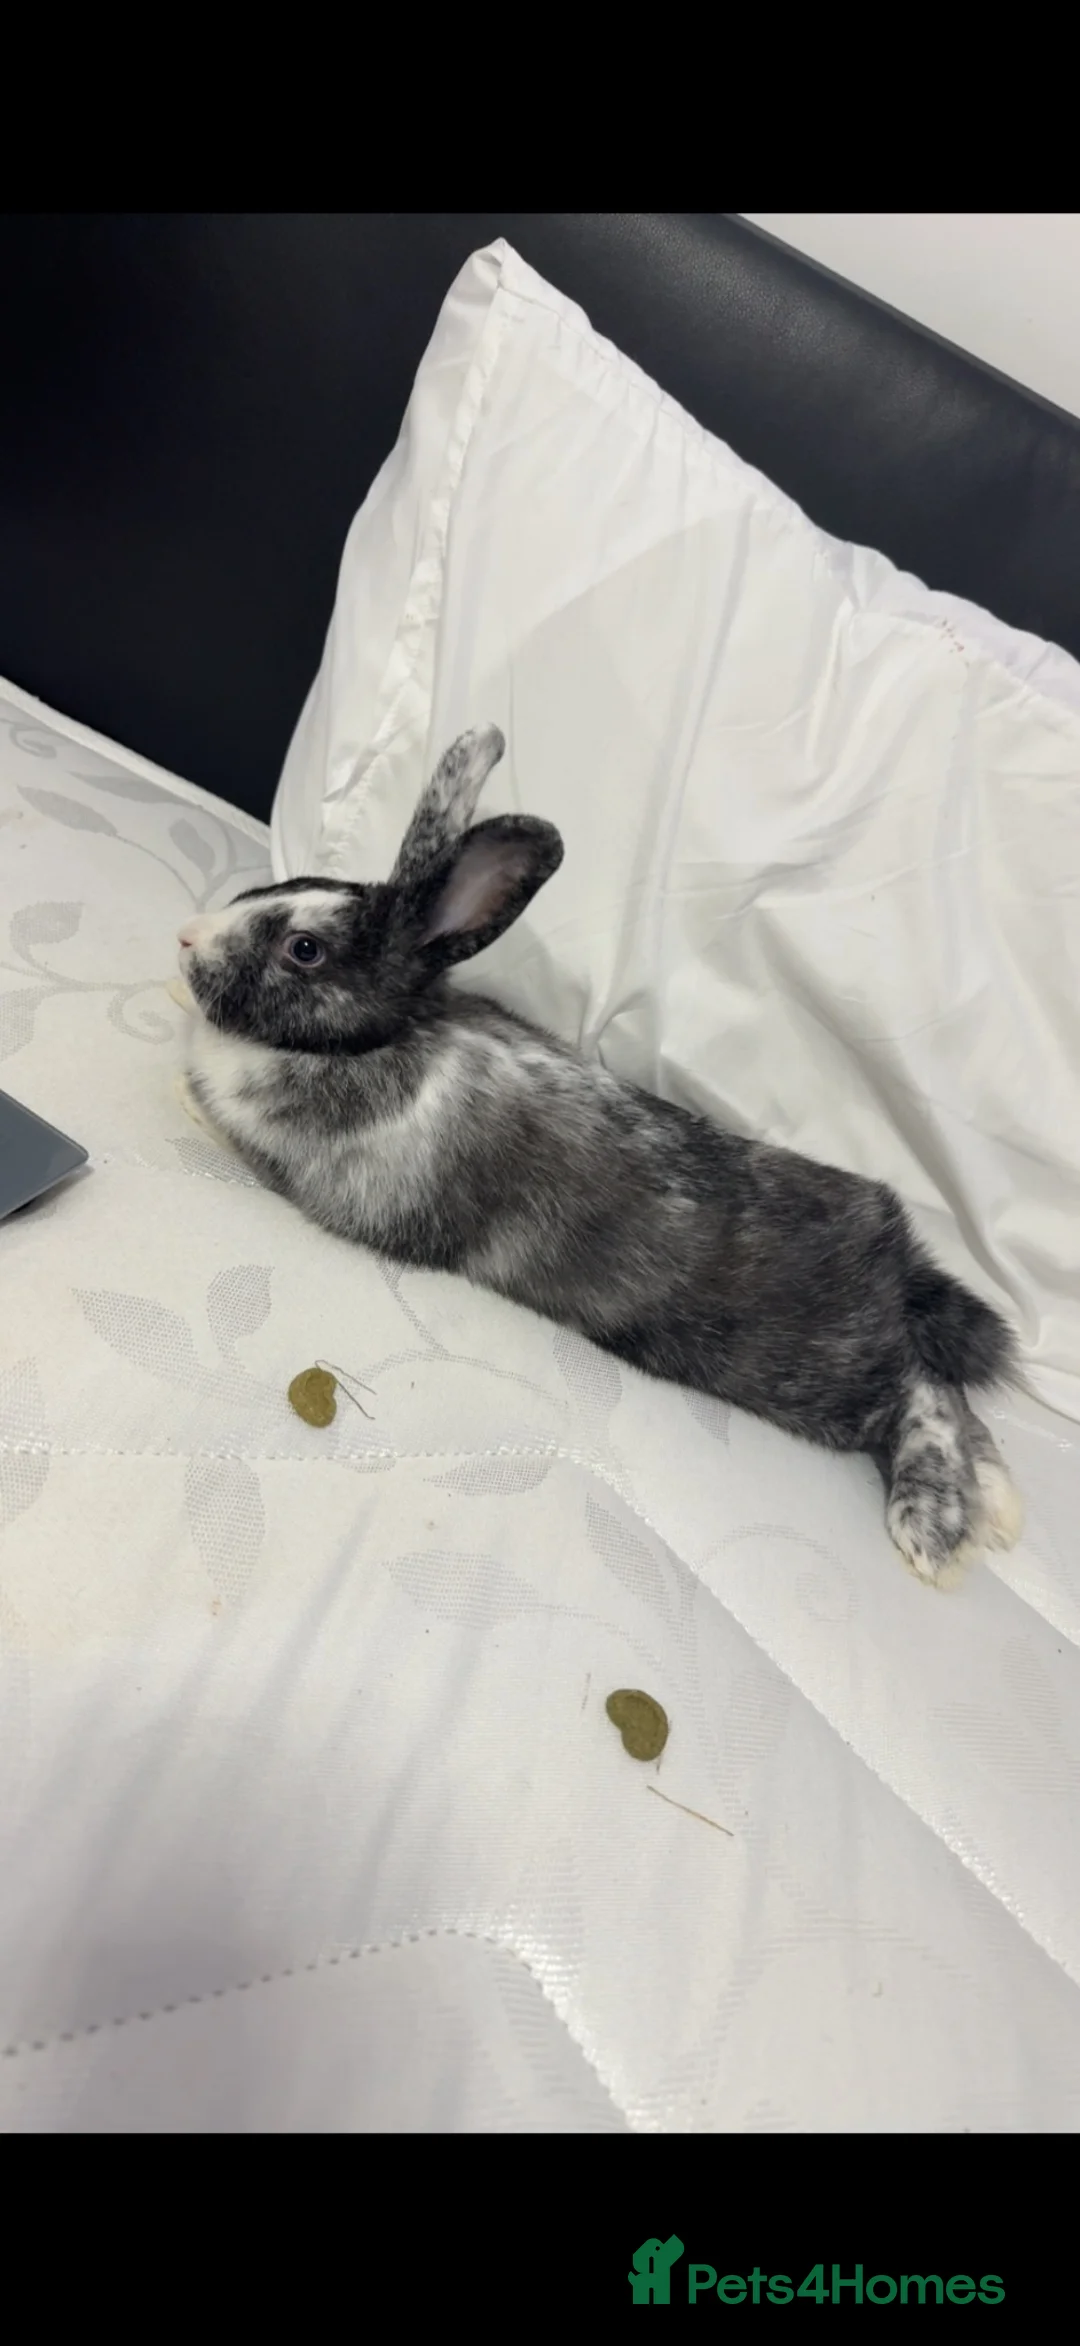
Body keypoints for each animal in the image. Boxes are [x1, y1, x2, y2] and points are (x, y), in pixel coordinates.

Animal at [176, 723, 1023, 1587]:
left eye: (304, 948)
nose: (187, 937)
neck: (375, 1042)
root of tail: (895, 1260)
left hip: (809, 1372)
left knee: (921, 1394)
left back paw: (932, 1530)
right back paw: (997, 1507)